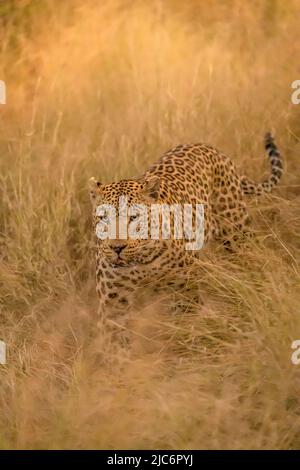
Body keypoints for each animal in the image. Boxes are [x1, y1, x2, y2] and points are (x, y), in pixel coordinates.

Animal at [89, 133, 284, 326]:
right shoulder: (114, 303)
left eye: (134, 217)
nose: (116, 248)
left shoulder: (184, 290)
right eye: (103, 218)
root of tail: (210, 147)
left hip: (237, 232)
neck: (141, 264)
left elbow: (185, 324)